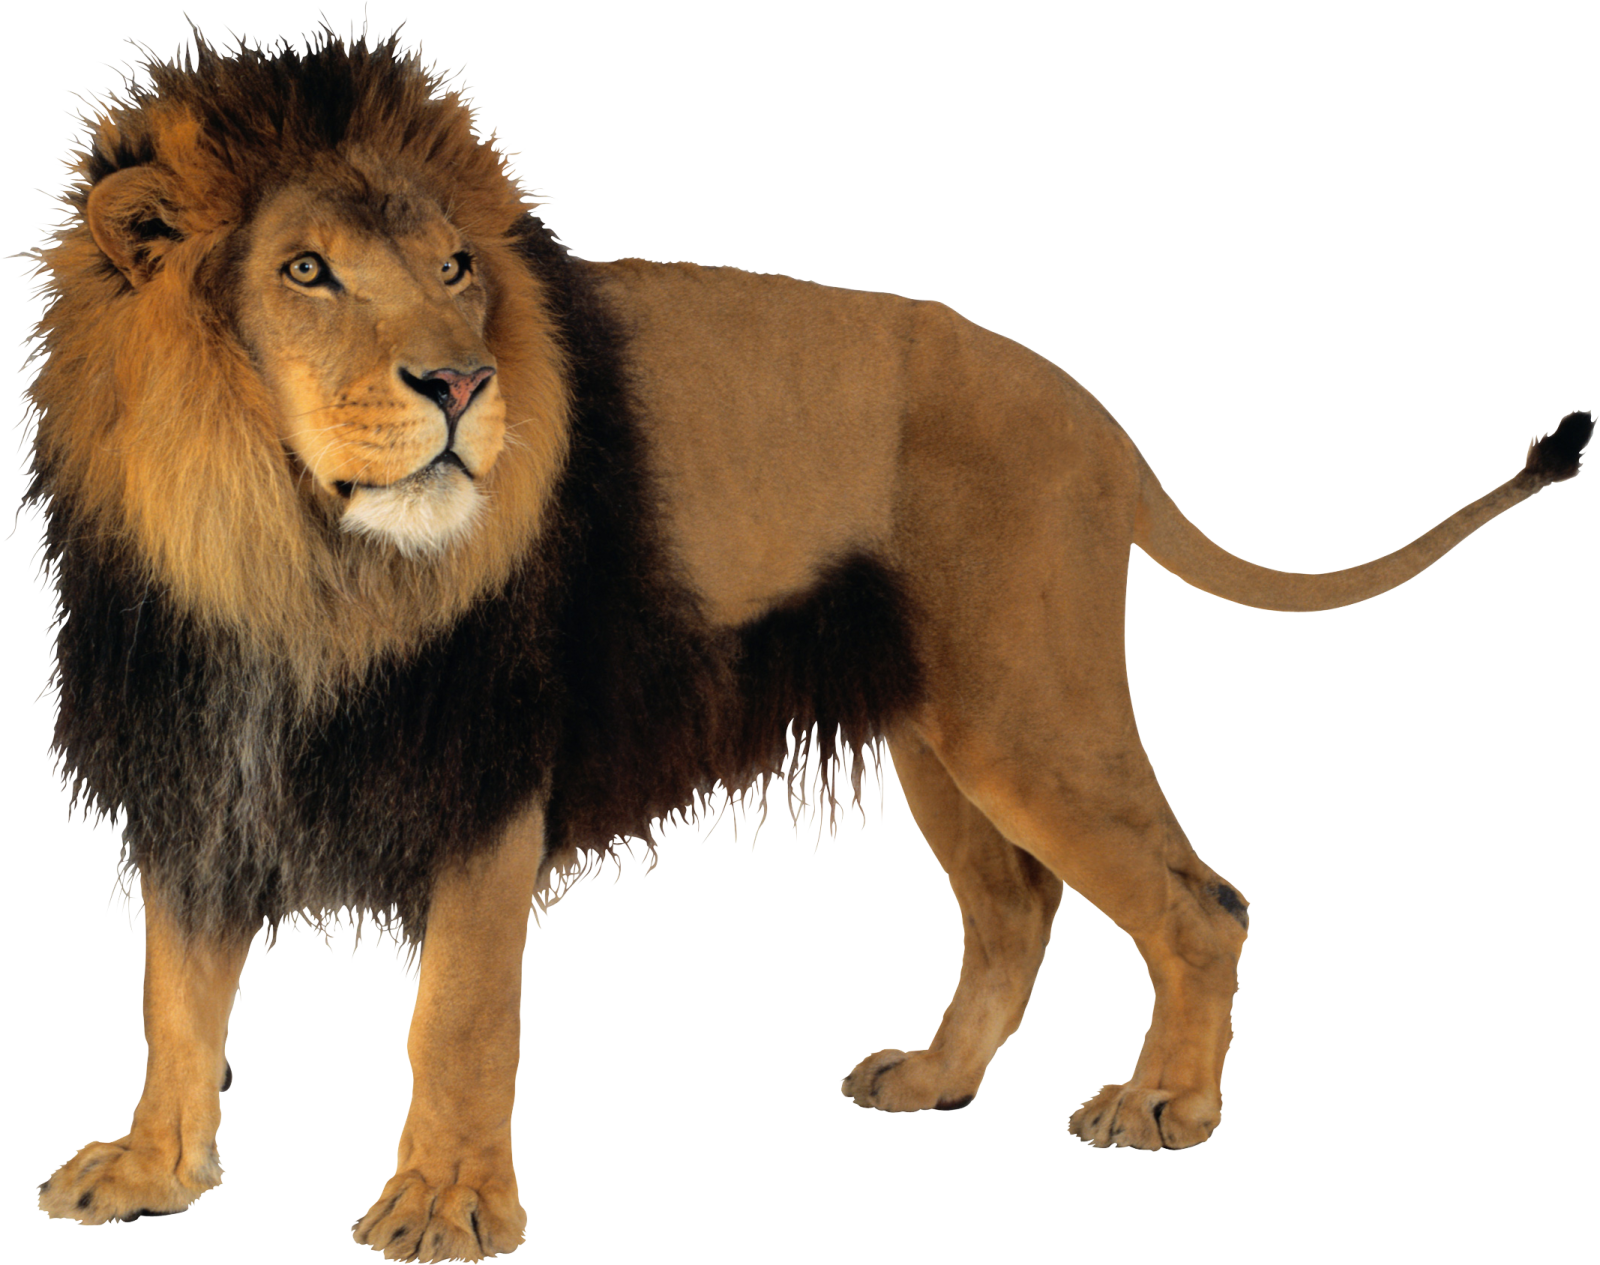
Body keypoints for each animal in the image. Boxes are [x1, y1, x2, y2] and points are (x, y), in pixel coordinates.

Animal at [21, 19, 1589, 1262]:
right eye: (305, 270)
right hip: (947, 732)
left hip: (1032, 708)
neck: (287, 557)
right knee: (1015, 907)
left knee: (1202, 901)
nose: (460, 384)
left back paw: (1164, 1104)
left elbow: (457, 1014)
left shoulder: (489, 769)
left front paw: (448, 1209)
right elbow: (177, 999)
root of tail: (1101, 418)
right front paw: (151, 1169)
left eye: (458, 266)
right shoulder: (202, 768)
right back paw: (937, 1079)